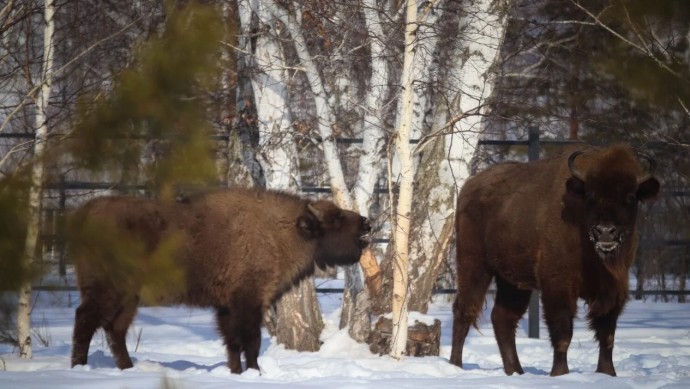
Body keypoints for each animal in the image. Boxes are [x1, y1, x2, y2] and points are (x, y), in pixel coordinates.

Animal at [68, 188, 370, 372]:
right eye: (335, 218)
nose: (366, 223)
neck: (281, 231)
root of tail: (83, 214)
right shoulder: (248, 302)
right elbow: (250, 342)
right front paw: (254, 371)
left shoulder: (227, 307)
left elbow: (232, 342)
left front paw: (236, 372)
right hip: (107, 291)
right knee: (85, 322)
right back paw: (79, 367)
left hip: (129, 298)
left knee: (114, 330)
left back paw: (127, 368)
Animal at [448, 144, 660, 374]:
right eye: (590, 196)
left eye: (630, 196)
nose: (605, 232)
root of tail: (469, 188)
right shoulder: (558, 286)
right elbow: (563, 333)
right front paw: (560, 373)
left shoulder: (613, 288)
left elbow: (607, 335)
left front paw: (607, 373)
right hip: (475, 266)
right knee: (464, 311)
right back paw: (456, 365)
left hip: (512, 281)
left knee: (502, 318)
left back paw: (516, 371)